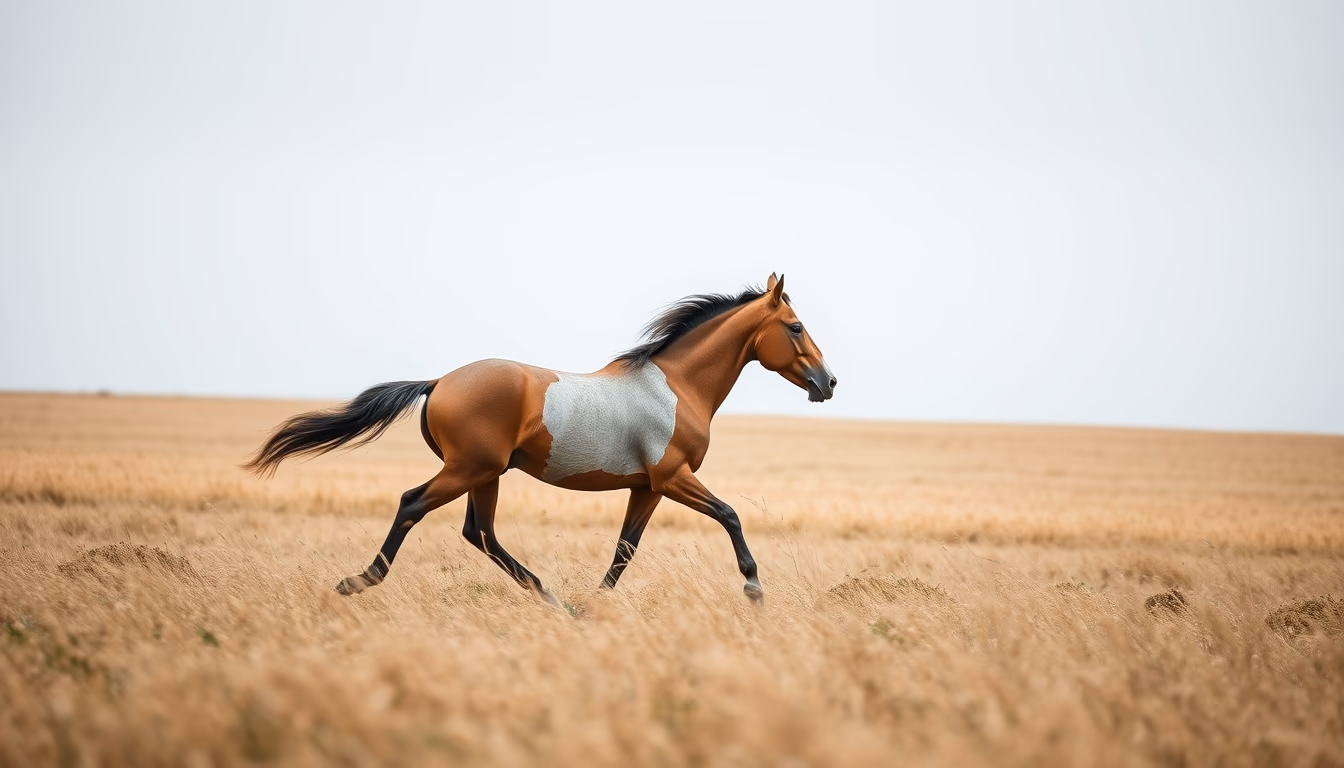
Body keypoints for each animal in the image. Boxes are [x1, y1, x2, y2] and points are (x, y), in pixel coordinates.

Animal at [244, 273, 835, 606]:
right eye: (796, 327)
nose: (828, 383)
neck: (677, 387)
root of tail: (439, 383)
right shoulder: (674, 477)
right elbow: (730, 515)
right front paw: (754, 589)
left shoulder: (647, 487)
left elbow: (625, 548)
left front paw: (594, 605)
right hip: (467, 469)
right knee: (414, 505)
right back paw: (359, 581)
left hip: (486, 474)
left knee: (480, 533)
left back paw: (549, 597)